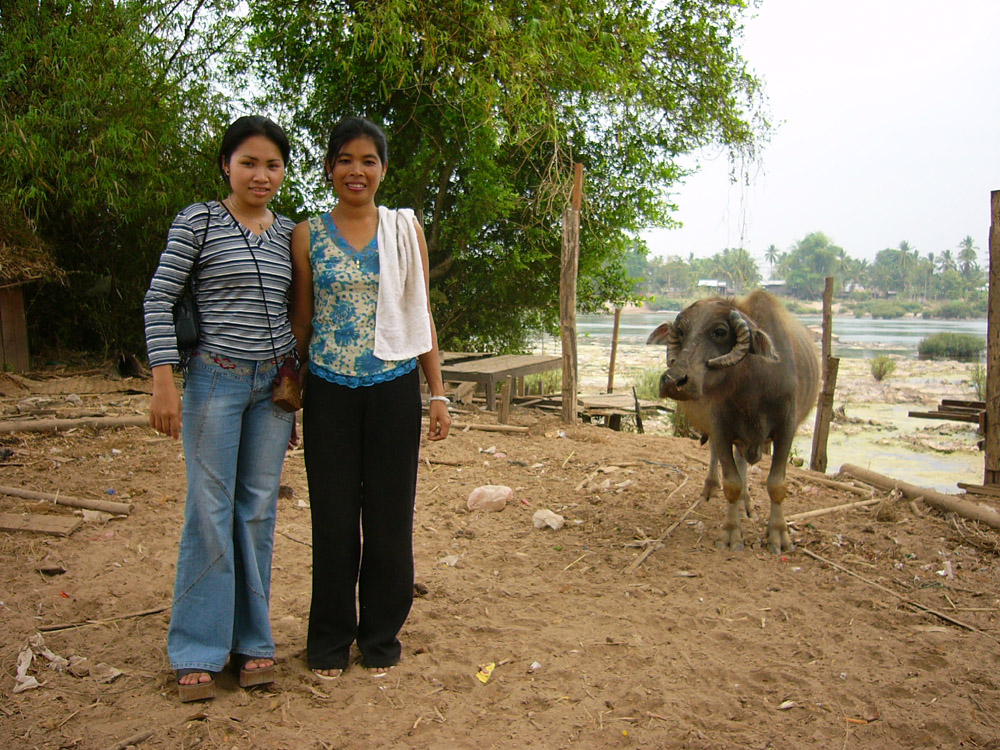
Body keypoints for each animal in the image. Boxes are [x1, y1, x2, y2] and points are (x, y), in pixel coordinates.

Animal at [648, 290, 820, 556]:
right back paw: (711, 490)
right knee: (717, 457)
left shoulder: (786, 429)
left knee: (743, 465)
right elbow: (732, 483)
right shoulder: (720, 428)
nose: (672, 381)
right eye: (682, 332)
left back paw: (746, 505)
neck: (752, 385)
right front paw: (731, 532)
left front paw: (778, 535)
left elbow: (776, 485)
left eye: (720, 331)